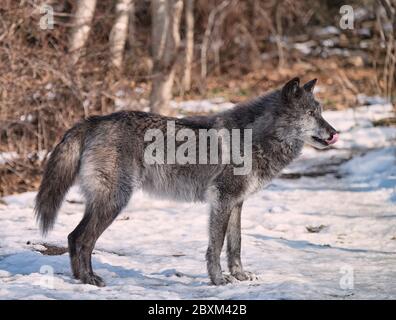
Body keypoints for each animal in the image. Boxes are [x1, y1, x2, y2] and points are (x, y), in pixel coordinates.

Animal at [34, 78, 338, 288]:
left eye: (321, 112)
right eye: (311, 114)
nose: (335, 132)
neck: (253, 138)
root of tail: (94, 120)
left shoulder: (237, 203)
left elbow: (235, 244)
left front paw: (239, 275)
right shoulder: (222, 200)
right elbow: (216, 246)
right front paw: (219, 281)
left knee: (73, 237)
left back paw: (81, 280)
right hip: (115, 201)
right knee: (82, 239)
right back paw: (90, 280)